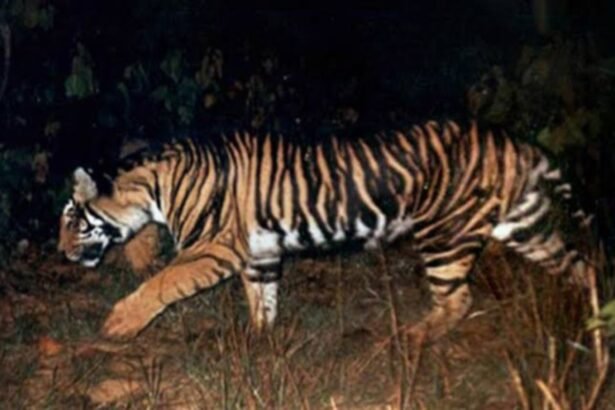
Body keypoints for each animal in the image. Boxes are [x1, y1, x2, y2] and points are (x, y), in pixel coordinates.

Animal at [56, 121, 596, 340]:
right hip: (522, 224)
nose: (61, 253)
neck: (152, 188)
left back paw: (412, 338)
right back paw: (590, 316)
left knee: (459, 299)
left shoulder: (215, 247)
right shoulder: (258, 252)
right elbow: (262, 299)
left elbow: (162, 281)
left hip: (445, 235)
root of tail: (515, 143)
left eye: (72, 220)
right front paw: (261, 340)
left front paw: (119, 324)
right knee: (579, 262)